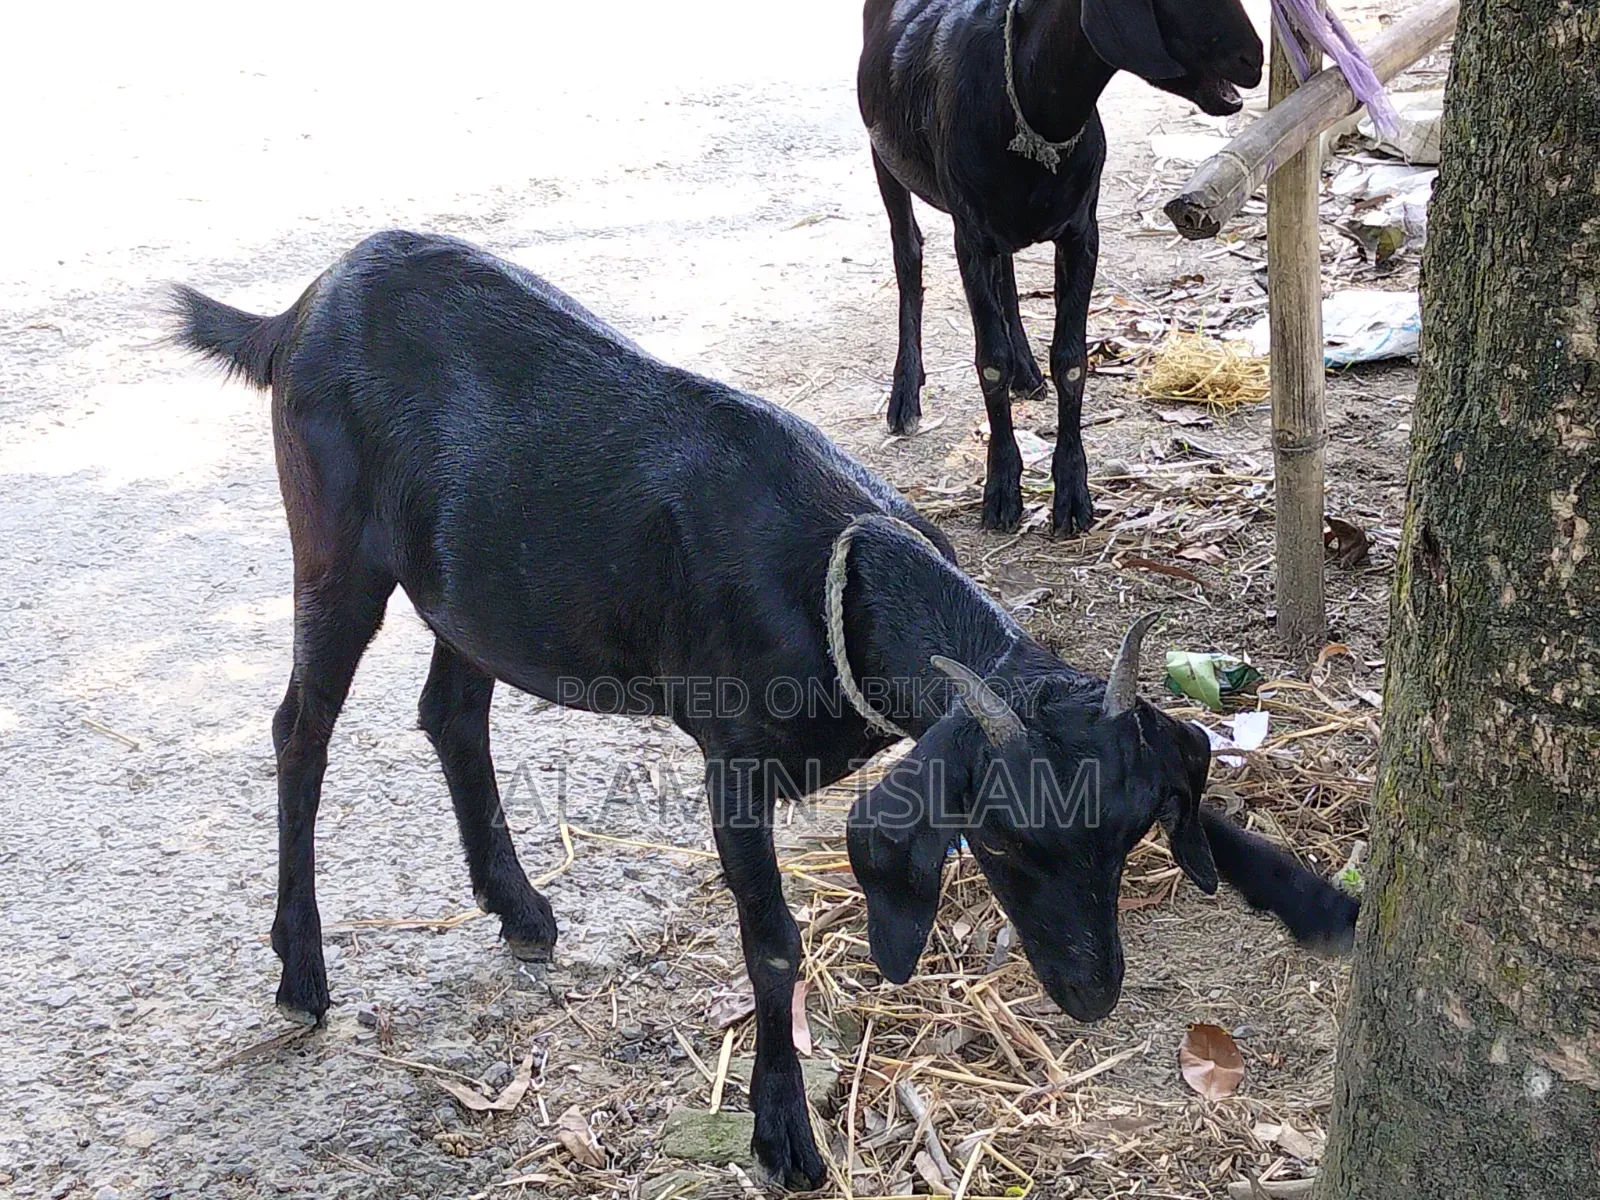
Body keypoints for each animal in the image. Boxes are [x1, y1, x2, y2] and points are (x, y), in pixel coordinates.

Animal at [173, 231, 1354, 1190]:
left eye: (1126, 835)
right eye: (1004, 844)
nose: (1094, 993)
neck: (834, 575)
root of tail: (304, 307)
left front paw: (1314, 897)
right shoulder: (730, 763)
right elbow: (774, 941)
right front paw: (783, 1130)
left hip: (477, 589)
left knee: (451, 712)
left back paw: (518, 906)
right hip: (335, 548)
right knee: (299, 730)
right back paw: (301, 965)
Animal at [859, 0, 1264, 534]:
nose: (1254, 58)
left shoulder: (1080, 234)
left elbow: (1071, 360)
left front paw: (1072, 495)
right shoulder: (971, 236)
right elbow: (990, 362)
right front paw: (1001, 492)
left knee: (1006, 274)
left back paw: (1028, 373)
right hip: (884, 157)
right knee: (908, 255)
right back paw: (905, 394)